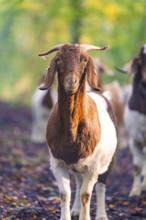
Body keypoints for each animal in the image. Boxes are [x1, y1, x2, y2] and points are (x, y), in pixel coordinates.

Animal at [38, 43, 117, 220]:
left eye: (84, 60)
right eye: (59, 59)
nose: (71, 82)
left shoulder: (93, 166)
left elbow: (86, 194)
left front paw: (85, 217)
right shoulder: (58, 162)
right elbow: (64, 193)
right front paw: (66, 216)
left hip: (109, 161)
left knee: (101, 185)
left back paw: (101, 215)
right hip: (76, 165)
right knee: (79, 181)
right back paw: (75, 210)